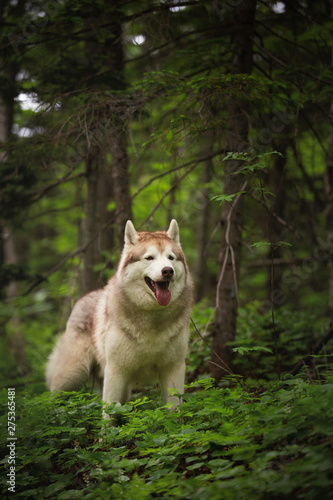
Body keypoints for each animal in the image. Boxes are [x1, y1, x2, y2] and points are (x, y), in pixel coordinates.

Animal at [45, 219, 193, 410]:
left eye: (171, 258)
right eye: (149, 258)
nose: (167, 270)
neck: (153, 318)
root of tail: (82, 299)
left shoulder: (173, 368)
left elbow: (174, 409)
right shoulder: (116, 370)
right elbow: (108, 412)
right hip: (71, 377)